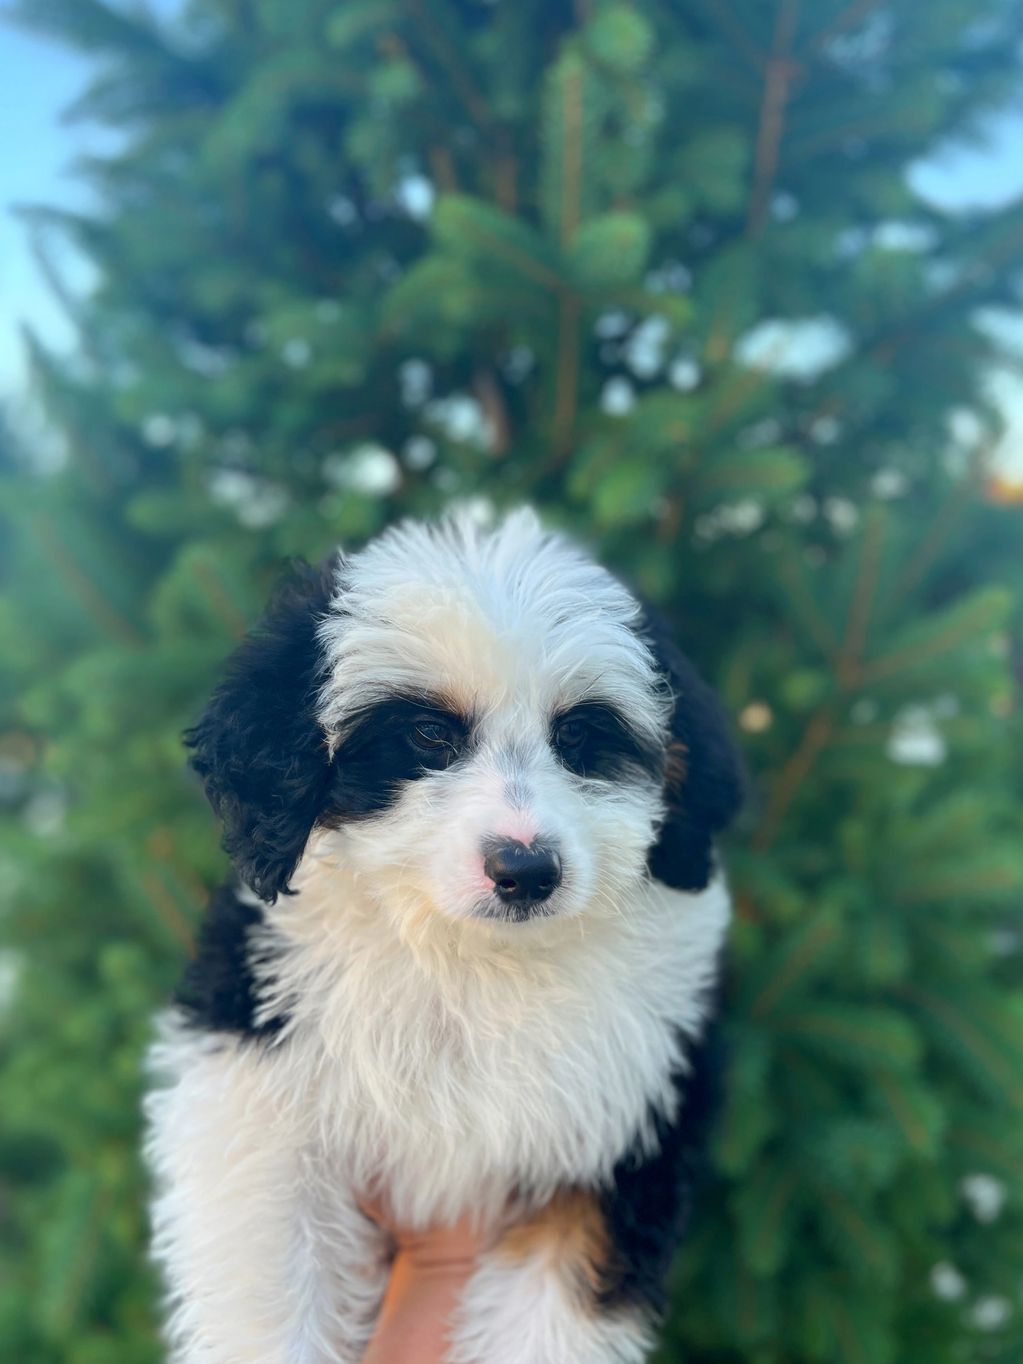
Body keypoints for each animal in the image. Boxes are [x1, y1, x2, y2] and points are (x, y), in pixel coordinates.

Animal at [145, 507, 747, 1358]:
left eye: (579, 738)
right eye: (429, 737)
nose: (525, 870)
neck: (473, 958)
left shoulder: (627, 1117)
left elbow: (553, 1309)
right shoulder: (260, 1077)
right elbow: (267, 1266)